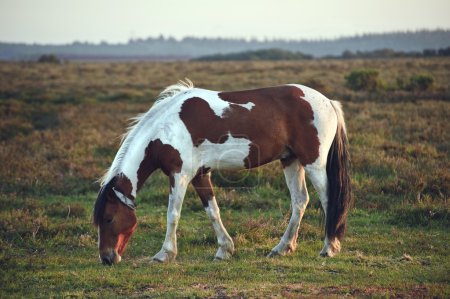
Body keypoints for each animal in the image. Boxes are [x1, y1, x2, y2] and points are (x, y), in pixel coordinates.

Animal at [94, 79, 352, 264]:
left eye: (109, 218)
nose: (107, 258)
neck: (166, 128)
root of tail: (328, 102)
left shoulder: (179, 175)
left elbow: (172, 214)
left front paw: (164, 254)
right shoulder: (200, 175)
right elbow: (212, 211)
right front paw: (225, 249)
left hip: (313, 163)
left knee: (329, 201)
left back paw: (329, 248)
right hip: (291, 161)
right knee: (300, 201)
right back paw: (282, 248)